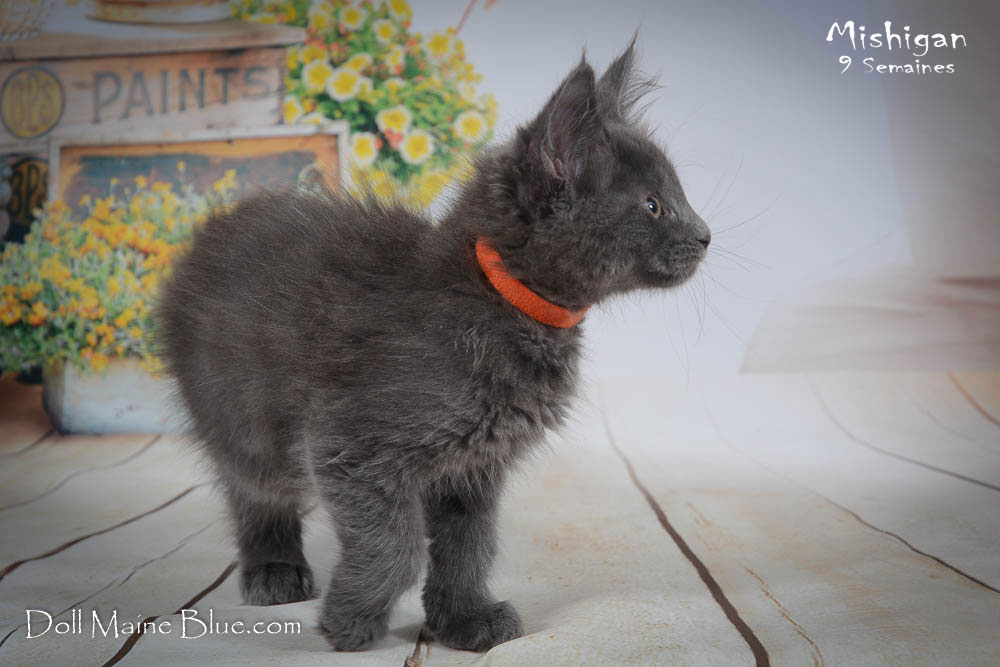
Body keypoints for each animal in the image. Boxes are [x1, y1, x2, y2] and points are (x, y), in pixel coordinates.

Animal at [157, 39, 710, 653]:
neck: (502, 298)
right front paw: (350, 621)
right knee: (253, 490)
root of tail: (211, 231)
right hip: (242, 415)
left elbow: (469, 547)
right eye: (654, 205)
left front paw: (463, 619)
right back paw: (273, 569)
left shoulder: (473, 467)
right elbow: (396, 547)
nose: (706, 235)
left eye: (676, 197)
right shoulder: (349, 443)